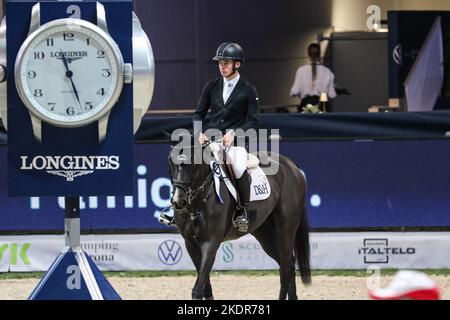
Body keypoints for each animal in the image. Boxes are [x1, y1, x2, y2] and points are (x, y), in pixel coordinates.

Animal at [167, 140, 312, 300]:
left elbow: (198, 289)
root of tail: (291, 165)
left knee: (286, 266)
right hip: (265, 234)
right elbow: (205, 286)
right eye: (170, 162)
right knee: (289, 263)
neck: (198, 203)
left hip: (285, 230)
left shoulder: (210, 243)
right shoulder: (191, 245)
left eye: (192, 163)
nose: (178, 202)